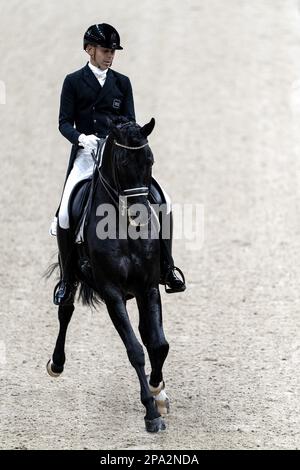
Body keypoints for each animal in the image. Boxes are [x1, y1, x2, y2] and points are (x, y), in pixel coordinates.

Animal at [46, 118, 170, 434]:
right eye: (124, 162)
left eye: (150, 160)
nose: (140, 216)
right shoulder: (112, 293)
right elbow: (135, 350)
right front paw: (151, 412)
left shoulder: (148, 287)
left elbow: (158, 344)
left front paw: (158, 390)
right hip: (73, 277)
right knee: (65, 311)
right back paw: (56, 363)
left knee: (147, 333)